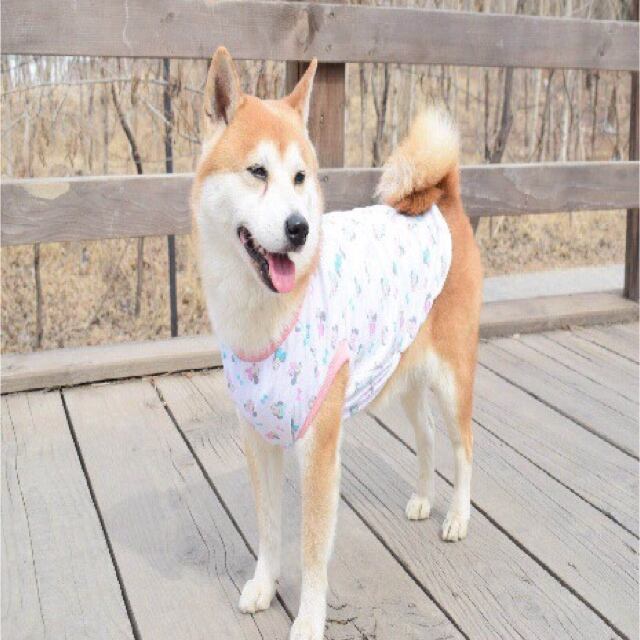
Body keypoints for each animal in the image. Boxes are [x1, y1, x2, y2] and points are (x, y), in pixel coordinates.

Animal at [191, 47, 482, 640]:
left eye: (301, 176)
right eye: (257, 171)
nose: (299, 228)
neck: (264, 317)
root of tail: (444, 200)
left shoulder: (318, 448)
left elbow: (311, 547)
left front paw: (308, 617)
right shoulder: (260, 438)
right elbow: (268, 529)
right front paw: (264, 585)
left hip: (451, 379)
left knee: (464, 450)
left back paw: (458, 516)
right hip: (404, 378)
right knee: (427, 439)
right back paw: (424, 499)